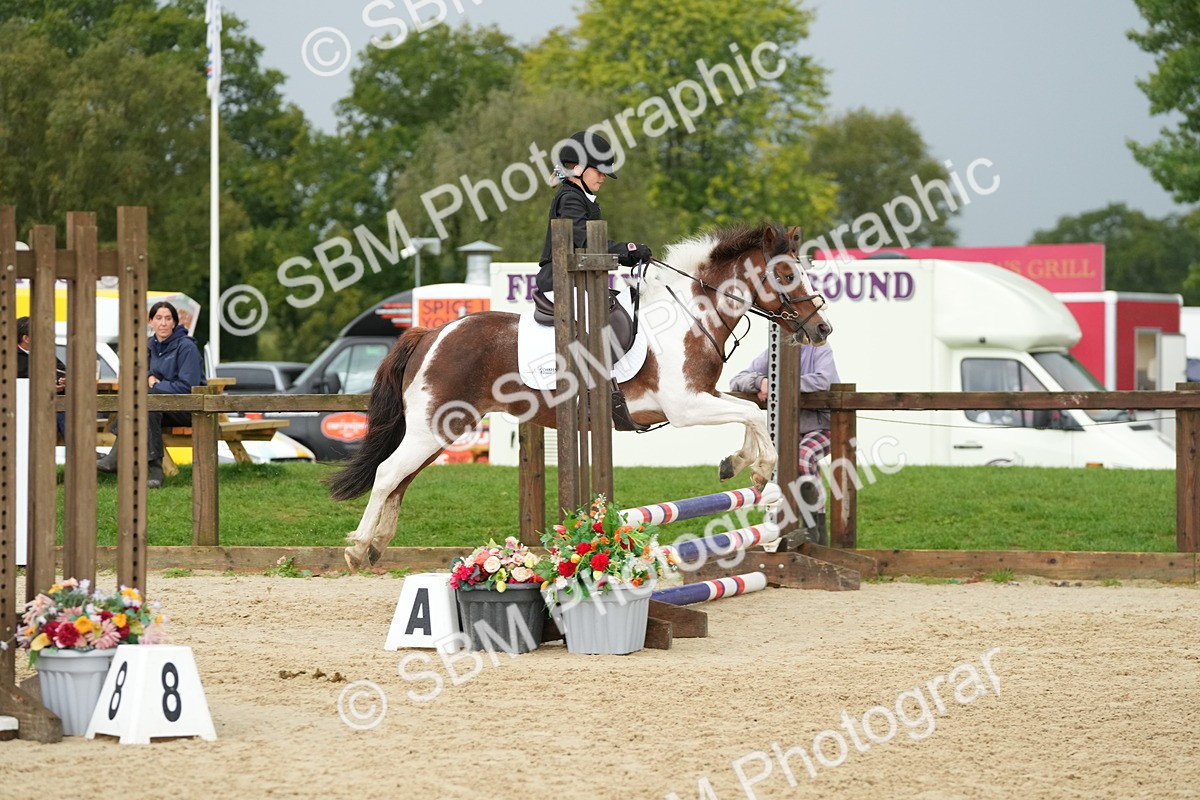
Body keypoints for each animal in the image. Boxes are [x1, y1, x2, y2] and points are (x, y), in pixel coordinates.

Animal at [329, 221, 833, 569]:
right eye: (784, 273)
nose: (821, 329)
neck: (693, 315)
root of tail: (431, 333)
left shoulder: (704, 396)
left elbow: (749, 409)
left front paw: (738, 463)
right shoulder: (687, 406)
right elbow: (751, 415)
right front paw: (758, 469)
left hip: (441, 430)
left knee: (400, 478)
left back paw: (376, 545)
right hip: (432, 428)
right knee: (388, 473)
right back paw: (357, 548)